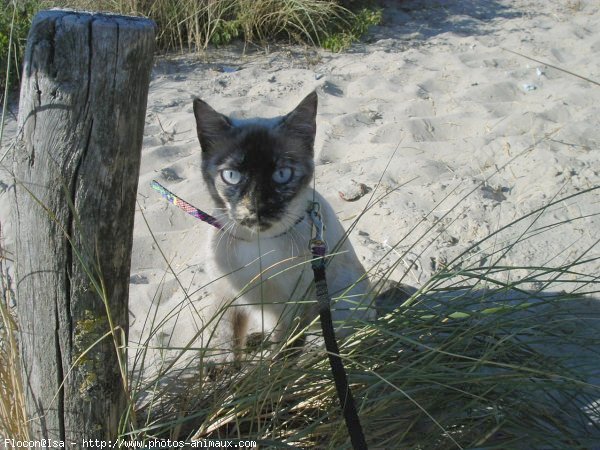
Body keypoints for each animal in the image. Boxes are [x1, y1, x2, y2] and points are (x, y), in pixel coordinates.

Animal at [193, 92, 376, 362]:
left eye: (281, 174)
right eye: (232, 176)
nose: (257, 207)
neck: (258, 245)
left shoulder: (291, 310)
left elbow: (283, 355)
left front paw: (271, 371)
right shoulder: (227, 294)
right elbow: (224, 339)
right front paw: (223, 369)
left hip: (341, 301)